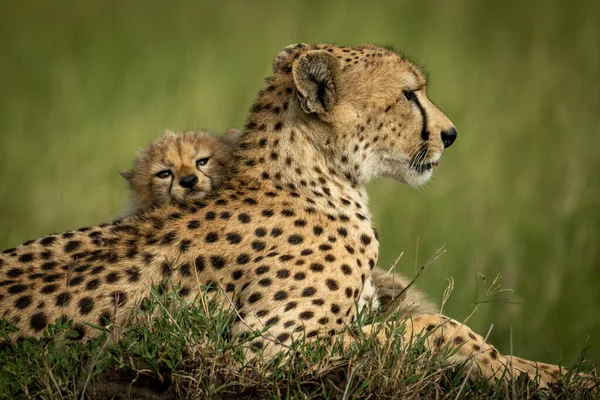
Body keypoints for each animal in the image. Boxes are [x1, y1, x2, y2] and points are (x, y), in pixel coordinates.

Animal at [0, 43, 584, 388]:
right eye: (409, 94)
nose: (450, 134)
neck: (315, 176)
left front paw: (552, 373)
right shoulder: (262, 348)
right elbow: (431, 328)